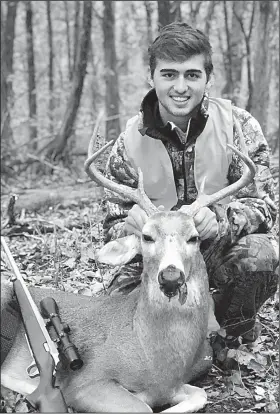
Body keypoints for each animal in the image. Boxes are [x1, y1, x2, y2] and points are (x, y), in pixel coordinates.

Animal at [0, 119, 256, 410]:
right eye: (146, 236)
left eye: (194, 237)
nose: (170, 276)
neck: (156, 360)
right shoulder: (84, 382)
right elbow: (142, 407)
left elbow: (199, 395)